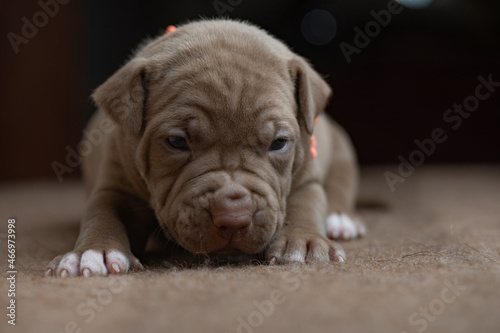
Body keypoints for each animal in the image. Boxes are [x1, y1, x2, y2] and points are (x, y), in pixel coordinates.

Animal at [46, 19, 364, 276]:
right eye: (176, 142)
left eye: (278, 143)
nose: (233, 219)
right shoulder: (115, 182)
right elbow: (102, 213)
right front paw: (94, 252)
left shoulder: (305, 175)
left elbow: (305, 202)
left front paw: (304, 242)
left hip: (341, 150)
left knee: (339, 182)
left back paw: (340, 220)